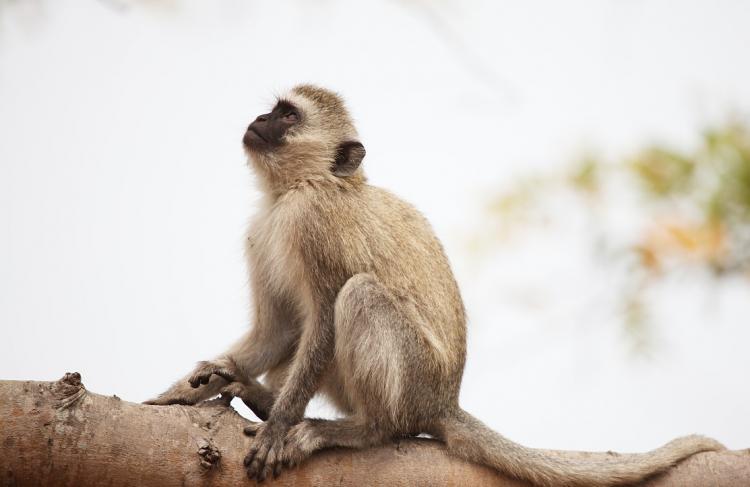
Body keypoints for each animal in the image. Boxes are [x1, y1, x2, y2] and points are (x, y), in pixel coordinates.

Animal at [144, 86, 724, 486]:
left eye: (289, 115)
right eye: (274, 109)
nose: (261, 119)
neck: (298, 189)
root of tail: (442, 401)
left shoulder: (314, 225)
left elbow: (323, 318)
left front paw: (277, 426)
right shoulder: (262, 232)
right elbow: (280, 328)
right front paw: (190, 388)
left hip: (413, 378)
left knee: (361, 297)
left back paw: (355, 430)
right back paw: (264, 397)